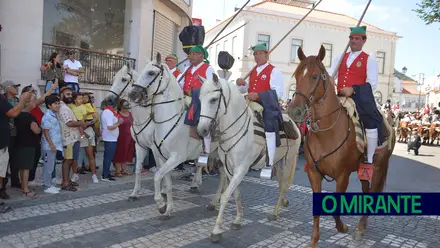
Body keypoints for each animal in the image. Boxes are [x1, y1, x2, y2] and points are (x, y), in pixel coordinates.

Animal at [199, 73, 302, 242]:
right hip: (277, 163)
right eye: (200, 99)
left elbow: (226, 196)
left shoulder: (241, 169)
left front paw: (217, 229)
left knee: (283, 186)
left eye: (213, 100)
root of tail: (294, 123)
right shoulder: (229, 168)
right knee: (282, 184)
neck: (236, 130)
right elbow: (235, 193)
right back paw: (283, 202)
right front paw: (237, 219)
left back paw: (275, 212)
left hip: (288, 162)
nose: (202, 130)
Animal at [288, 45, 398, 247]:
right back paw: (363, 224)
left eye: (314, 76)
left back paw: (360, 228)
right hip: (363, 172)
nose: (294, 111)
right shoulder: (314, 173)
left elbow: (337, 208)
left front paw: (342, 227)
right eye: (297, 75)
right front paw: (314, 240)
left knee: (372, 193)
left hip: (378, 167)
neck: (326, 133)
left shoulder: (342, 176)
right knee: (366, 191)